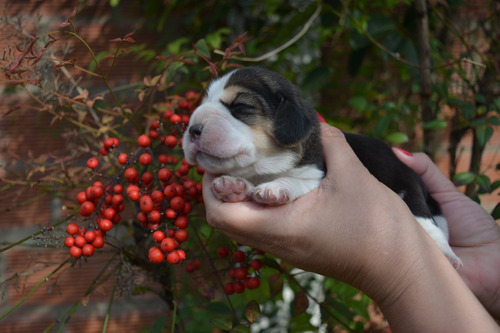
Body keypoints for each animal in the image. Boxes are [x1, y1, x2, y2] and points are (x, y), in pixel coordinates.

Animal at [201, 123, 498, 330]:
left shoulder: (314, 174)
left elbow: (295, 180)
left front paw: (275, 188)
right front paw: (233, 186)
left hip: (411, 194)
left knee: (432, 227)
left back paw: (447, 255)